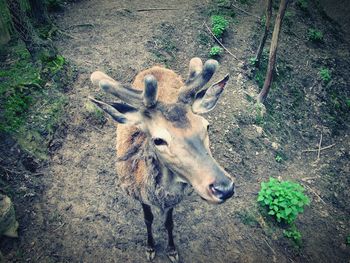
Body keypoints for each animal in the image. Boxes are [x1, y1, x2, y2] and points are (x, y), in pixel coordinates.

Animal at [89, 58, 235, 263]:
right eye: (158, 140)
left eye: (207, 126)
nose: (224, 188)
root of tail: (156, 67)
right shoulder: (140, 195)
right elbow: (148, 219)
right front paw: (150, 247)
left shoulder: (174, 200)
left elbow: (169, 222)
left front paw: (172, 250)